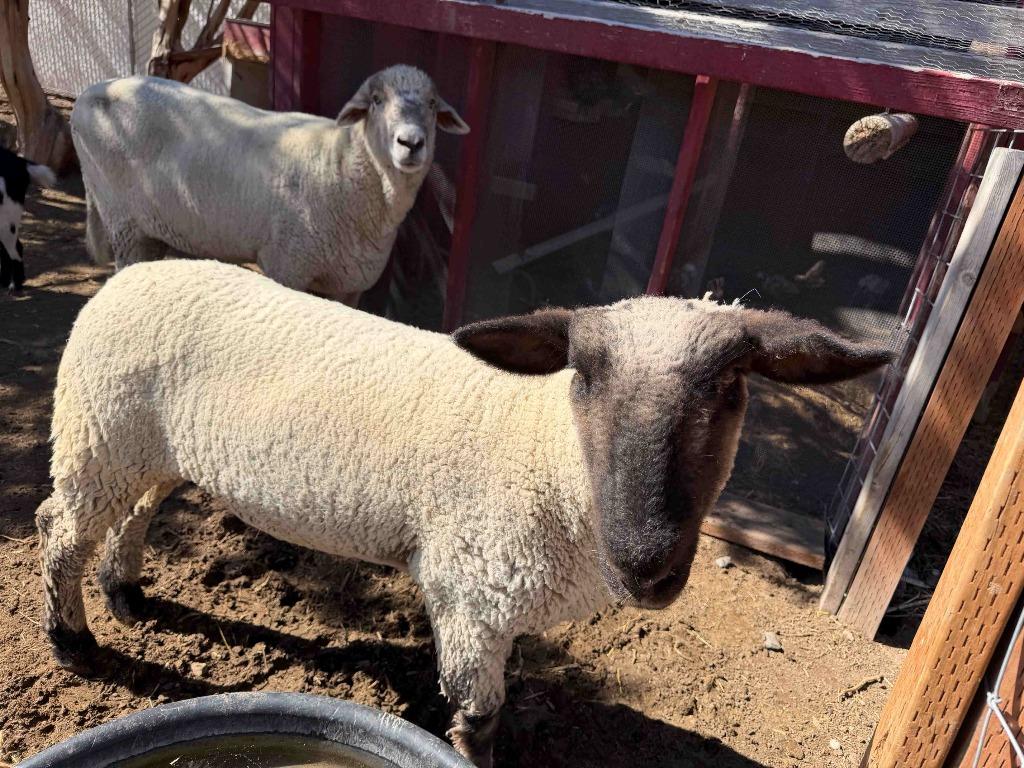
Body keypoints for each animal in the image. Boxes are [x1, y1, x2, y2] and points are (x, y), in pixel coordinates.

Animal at [37, 260, 891, 766]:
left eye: (731, 385)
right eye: (584, 375)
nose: (647, 562)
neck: (548, 454)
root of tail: (126, 274)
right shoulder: (472, 594)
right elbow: (479, 719)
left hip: (145, 450)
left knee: (133, 517)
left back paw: (128, 596)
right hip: (96, 432)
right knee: (59, 533)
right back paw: (74, 643)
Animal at [69, 65, 468, 305]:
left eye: (432, 104)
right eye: (376, 100)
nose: (411, 143)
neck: (341, 162)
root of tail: (91, 91)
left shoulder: (350, 284)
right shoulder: (286, 263)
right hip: (123, 220)